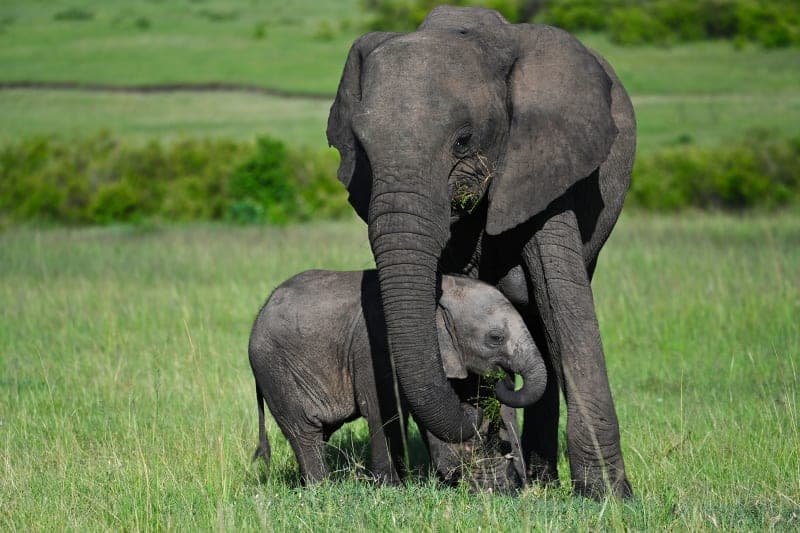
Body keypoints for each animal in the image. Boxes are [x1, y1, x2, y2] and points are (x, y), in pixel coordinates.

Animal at [248, 270, 547, 487]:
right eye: (495, 338)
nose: (503, 379)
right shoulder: (375, 350)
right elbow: (386, 413)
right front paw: (392, 489)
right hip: (276, 371)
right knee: (305, 431)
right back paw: (321, 488)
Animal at [326, 6, 635, 498]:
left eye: (463, 140)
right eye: (362, 149)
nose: (481, 412)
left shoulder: (546, 161)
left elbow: (563, 301)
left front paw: (608, 496)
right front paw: (483, 477)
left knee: (544, 316)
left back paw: (542, 479)